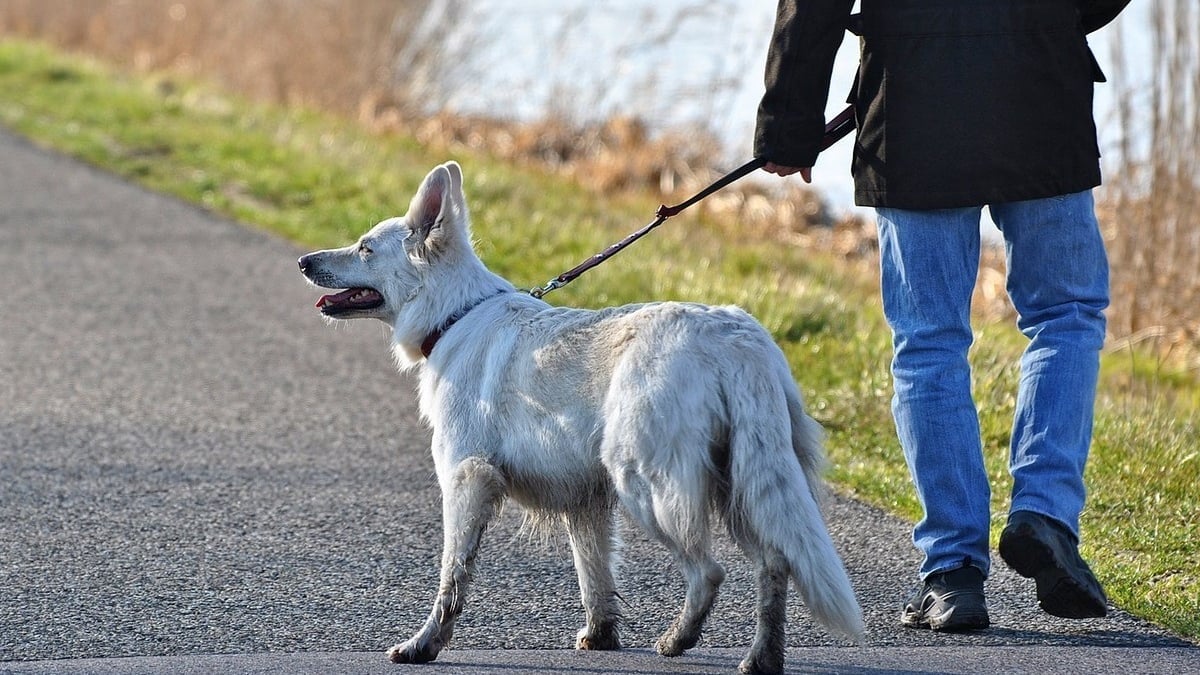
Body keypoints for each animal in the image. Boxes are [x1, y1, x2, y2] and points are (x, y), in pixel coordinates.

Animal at [298, 159, 864, 667]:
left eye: (365, 248)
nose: (303, 261)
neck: (455, 315)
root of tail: (734, 337)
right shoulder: (585, 501)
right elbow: (595, 576)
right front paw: (601, 636)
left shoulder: (466, 479)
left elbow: (452, 574)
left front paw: (424, 645)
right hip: (742, 485)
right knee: (775, 564)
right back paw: (761, 657)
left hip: (647, 484)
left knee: (709, 572)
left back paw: (678, 640)